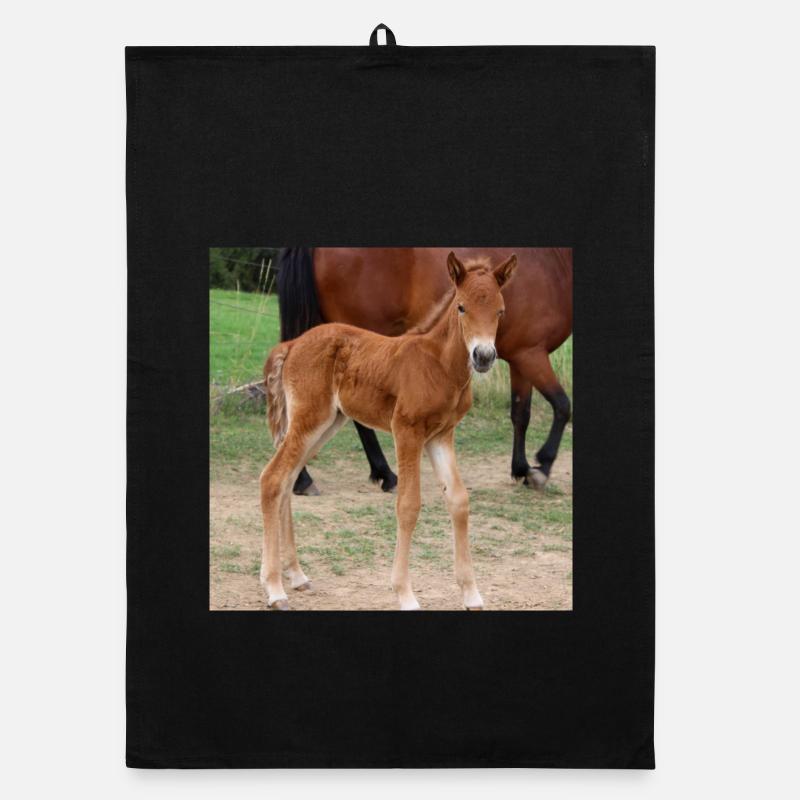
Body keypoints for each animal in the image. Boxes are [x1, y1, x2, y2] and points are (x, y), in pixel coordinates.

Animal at [260, 252, 517, 611]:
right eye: (461, 307)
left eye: (500, 310)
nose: (483, 356)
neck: (438, 365)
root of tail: (293, 343)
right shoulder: (407, 430)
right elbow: (408, 505)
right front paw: (405, 594)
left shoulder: (441, 436)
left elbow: (459, 501)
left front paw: (471, 593)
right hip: (310, 419)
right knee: (272, 478)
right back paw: (274, 588)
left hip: (326, 423)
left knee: (287, 480)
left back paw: (296, 575)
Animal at [277, 247, 572, 496]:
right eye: (461, 307)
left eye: (501, 311)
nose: (483, 356)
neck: (553, 261)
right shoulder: (532, 355)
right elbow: (562, 406)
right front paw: (542, 467)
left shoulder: (521, 358)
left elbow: (521, 413)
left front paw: (521, 468)